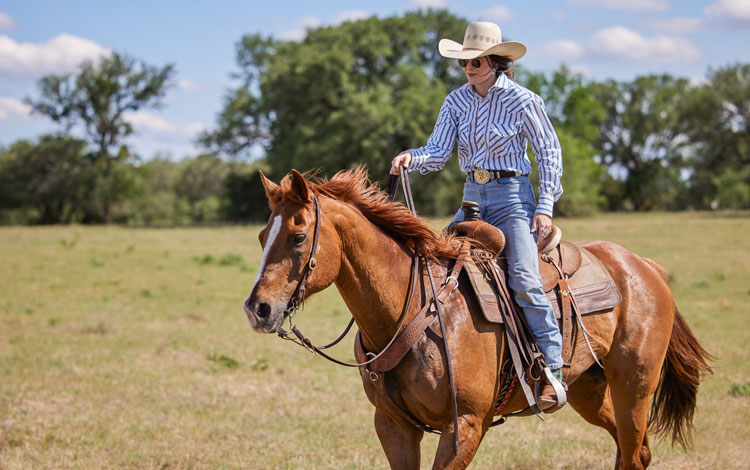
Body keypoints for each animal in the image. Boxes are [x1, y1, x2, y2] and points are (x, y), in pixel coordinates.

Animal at [244, 168, 712, 470]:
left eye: (298, 236)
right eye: (263, 235)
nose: (257, 309)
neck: (415, 311)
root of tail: (645, 267)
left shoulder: (465, 427)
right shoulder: (393, 426)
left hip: (635, 388)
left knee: (632, 452)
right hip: (589, 391)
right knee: (633, 451)